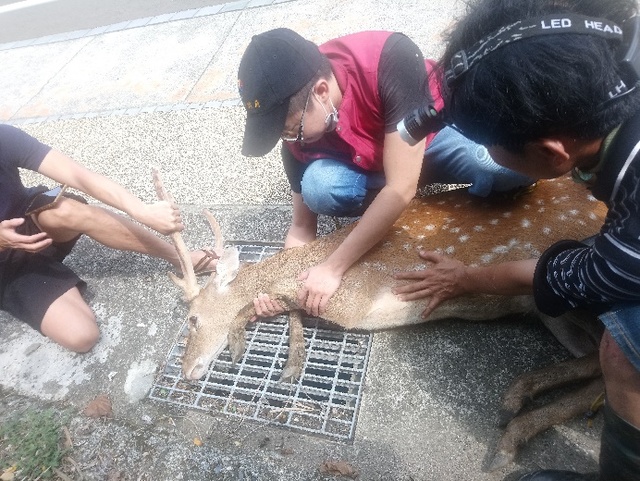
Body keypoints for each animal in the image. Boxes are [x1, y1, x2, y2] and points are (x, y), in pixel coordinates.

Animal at [153, 169, 607, 470]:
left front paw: (241, 346)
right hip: (549, 311)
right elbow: (288, 308)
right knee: (597, 366)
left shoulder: (353, 301)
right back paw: (514, 415)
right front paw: (292, 362)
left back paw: (512, 425)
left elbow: (272, 304)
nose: (188, 372)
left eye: (192, 318)